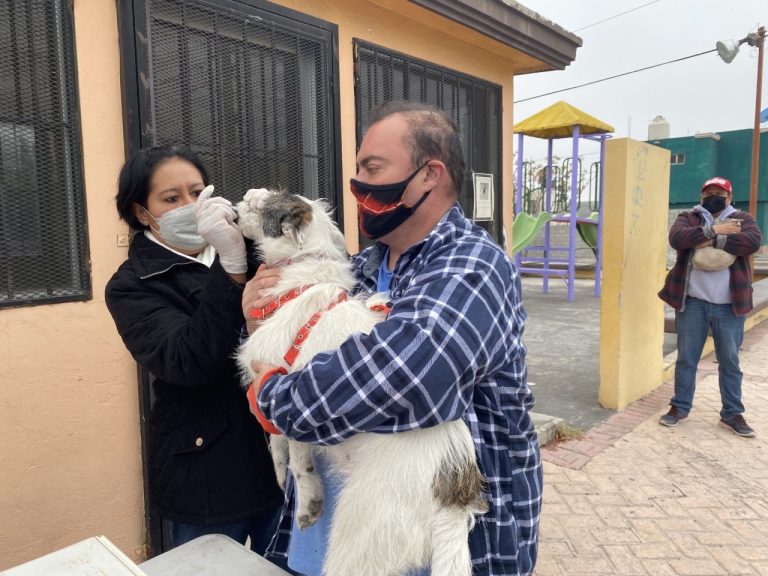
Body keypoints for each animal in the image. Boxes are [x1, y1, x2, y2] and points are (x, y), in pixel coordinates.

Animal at [236, 187, 486, 572]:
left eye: (259, 204)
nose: (238, 205)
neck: (302, 282)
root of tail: (454, 495)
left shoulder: (286, 387)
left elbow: (293, 451)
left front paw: (306, 498)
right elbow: (277, 444)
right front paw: (283, 478)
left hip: (360, 534)